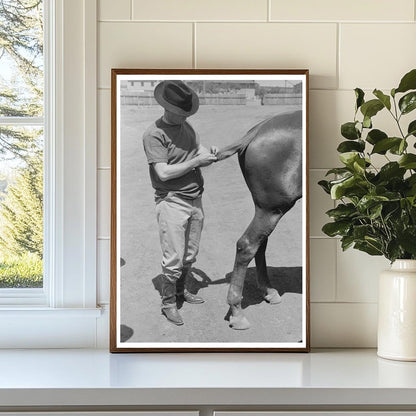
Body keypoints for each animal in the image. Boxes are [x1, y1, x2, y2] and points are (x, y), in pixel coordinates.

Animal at [214, 109, 302, 330]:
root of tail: (256, 131)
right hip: (271, 209)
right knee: (247, 245)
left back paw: (268, 291)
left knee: (259, 244)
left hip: (269, 212)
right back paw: (237, 311)